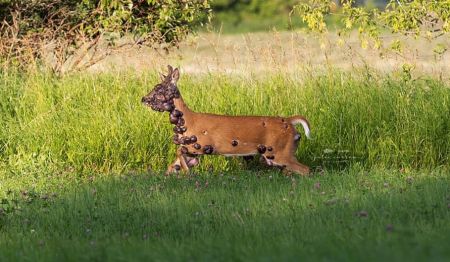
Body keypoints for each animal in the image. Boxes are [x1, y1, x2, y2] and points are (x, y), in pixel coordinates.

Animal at [142, 65, 312, 176]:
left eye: (159, 89)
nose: (143, 99)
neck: (188, 121)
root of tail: (290, 121)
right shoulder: (191, 150)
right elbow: (172, 166)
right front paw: (183, 171)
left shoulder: (202, 143)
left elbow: (178, 152)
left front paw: (188, 172)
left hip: (281, 151)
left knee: (306, 170)